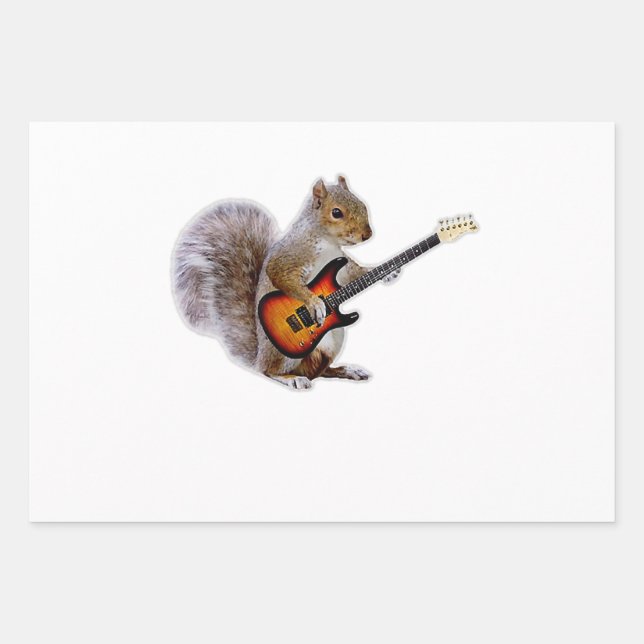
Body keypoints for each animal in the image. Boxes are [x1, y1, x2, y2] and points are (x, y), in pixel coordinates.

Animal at [172, 176, 400, 390]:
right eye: (336, 213)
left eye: (362, 205)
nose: (367, 234)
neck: (327, 242)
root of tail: (259, 357)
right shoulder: (288, 259)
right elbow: (283, 278)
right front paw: (315, 303)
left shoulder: (342, 267)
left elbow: (356, 273)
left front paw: (386, 273)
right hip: (281, 354)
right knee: (270, 371)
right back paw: (292, 378)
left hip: (334, 341)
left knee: (320, 371)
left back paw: (347, 370)